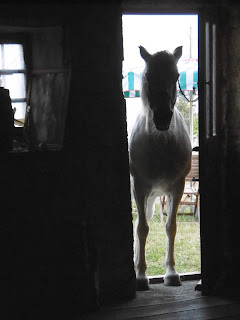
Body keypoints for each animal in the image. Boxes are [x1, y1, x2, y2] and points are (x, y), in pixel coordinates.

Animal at [129, 45, 191, 290]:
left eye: (176, 76)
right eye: (147, 76)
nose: (163, 117)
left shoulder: (176, 189)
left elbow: (170, 227)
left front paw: (171, 273)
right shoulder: (139, 188)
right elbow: (142, 229)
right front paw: (140, 276)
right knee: (139, 224)